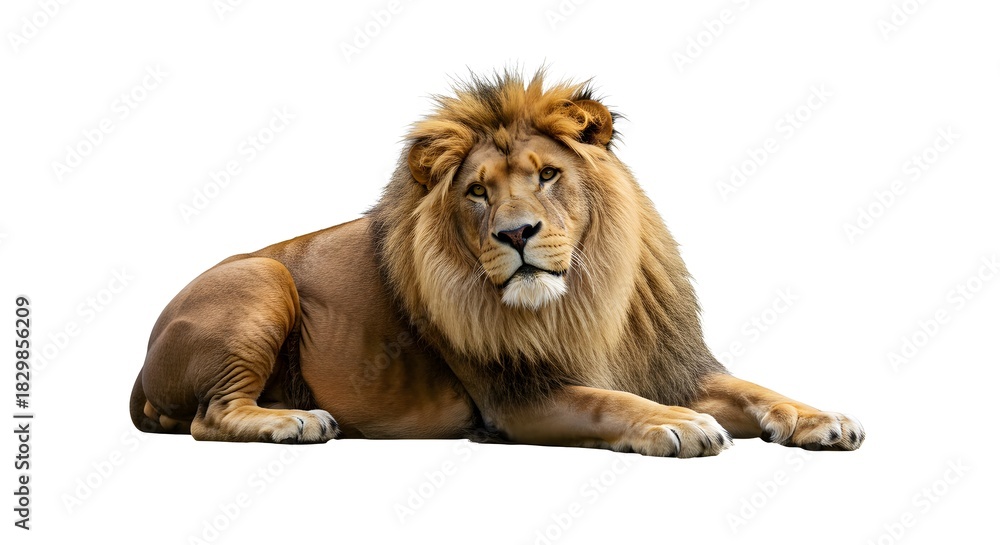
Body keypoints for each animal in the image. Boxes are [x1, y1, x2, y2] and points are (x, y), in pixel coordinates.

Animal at [129, 70, 864, 457]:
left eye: (547, 175)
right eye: (478, 192)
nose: (516, 234)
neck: (586, 300)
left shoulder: (671, 364)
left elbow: (754, 389)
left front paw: (821, 417)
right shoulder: (516, 400)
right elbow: (608, 401)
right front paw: (676, 424)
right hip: (262, 277)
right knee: (209, 417)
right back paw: (294, 420)